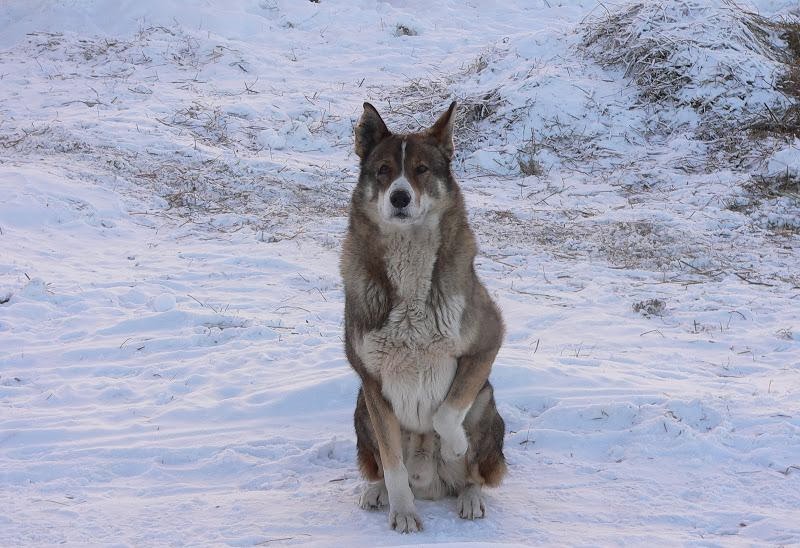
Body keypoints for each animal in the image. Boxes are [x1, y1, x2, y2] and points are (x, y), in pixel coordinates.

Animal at [340, 100, 506, 532]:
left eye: (421, 169)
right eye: (383, 170)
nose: (399, 198)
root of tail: (432, 486)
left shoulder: (488, 339)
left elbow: (447, 415)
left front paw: (453, 446)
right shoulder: (373, 381)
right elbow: (393, 464)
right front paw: (403, 512)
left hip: (486, 403)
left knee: (475, 473)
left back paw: (469, 495)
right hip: (362, 407)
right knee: (384, 466)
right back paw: (379, 492)